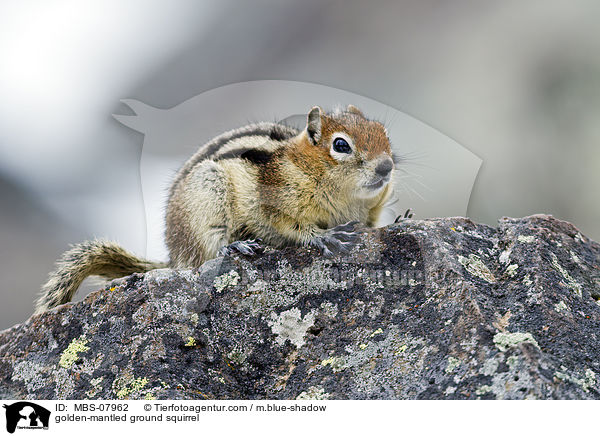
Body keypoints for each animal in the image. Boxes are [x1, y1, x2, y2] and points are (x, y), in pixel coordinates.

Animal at [35, 105, 396, 314]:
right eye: (341, 145)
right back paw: (235, 246)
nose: (387, 167)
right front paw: (325, 235)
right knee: (202, 257)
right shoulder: (272, 204)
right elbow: (291, 226)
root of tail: (173, 254)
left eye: (384, 134)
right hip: (208, 196)